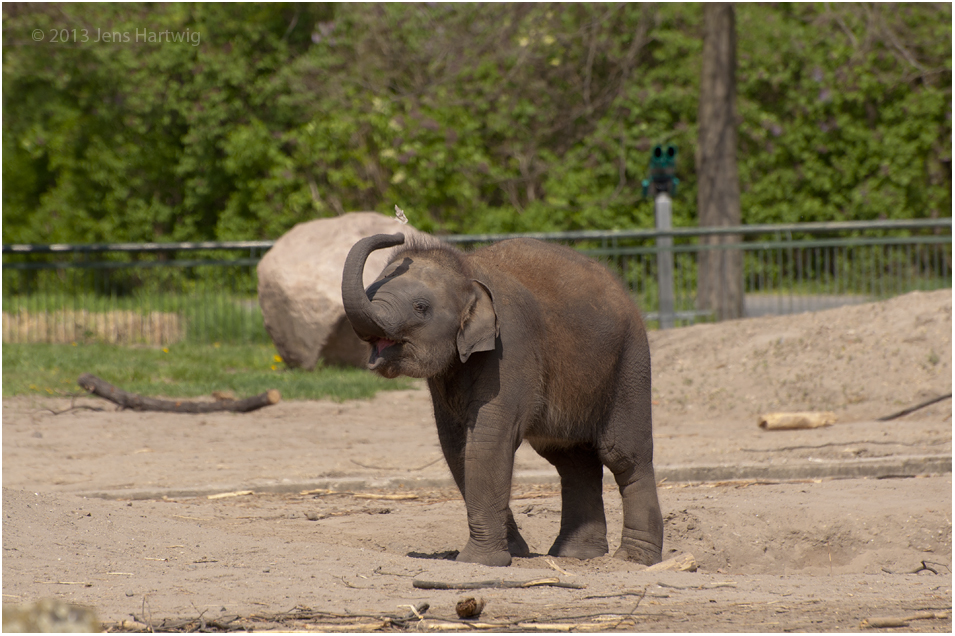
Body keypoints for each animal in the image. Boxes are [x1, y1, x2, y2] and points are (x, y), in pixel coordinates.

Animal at [344, 232, 664, 568]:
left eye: (420, 307)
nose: (398, 234)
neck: (468, 270)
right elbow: (457, 446)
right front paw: (513, 551)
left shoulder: (510, 347)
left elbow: (487, 441)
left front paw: (479, 561)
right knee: (572, 461)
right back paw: (577, 555)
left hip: (630, 363)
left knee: (623, 455)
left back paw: (634, 559)